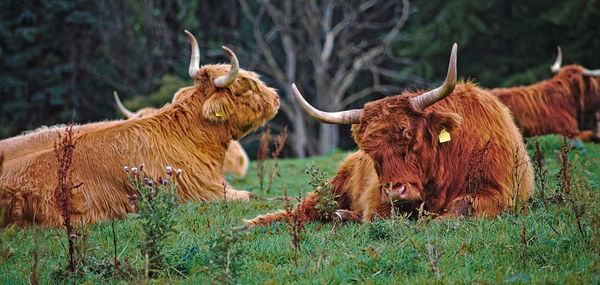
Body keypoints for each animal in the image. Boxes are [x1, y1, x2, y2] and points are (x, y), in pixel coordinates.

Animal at [246, 44, 532, 226]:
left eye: (410, 136)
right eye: (370, 149)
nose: (396, 191)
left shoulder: (501, 191)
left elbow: (464, 204)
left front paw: (439, 221)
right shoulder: (378, 201)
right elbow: (381, 217)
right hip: (332, 186)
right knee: (302, 211)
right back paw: (248, 226)